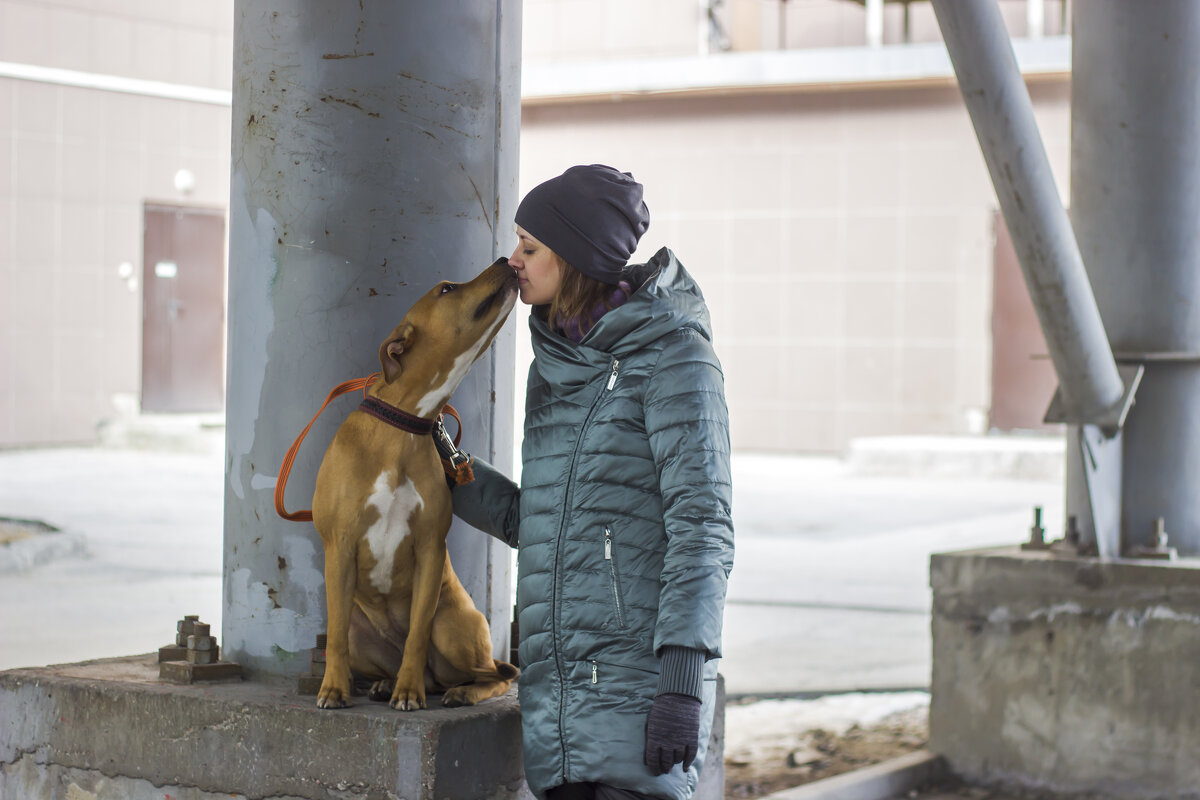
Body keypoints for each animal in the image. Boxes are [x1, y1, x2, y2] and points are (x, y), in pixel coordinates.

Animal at [312, 260, 518, 710]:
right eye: (447, 288)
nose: (505, 262)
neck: (404, 425)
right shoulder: (340, 545)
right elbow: (334, 636)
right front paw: (333, 687)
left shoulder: (429, 549)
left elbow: (417, 635)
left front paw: (408, 691)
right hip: (362, 635)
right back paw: (384, 683)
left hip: (454, 628)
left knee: (497, 674)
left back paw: (457, 691)